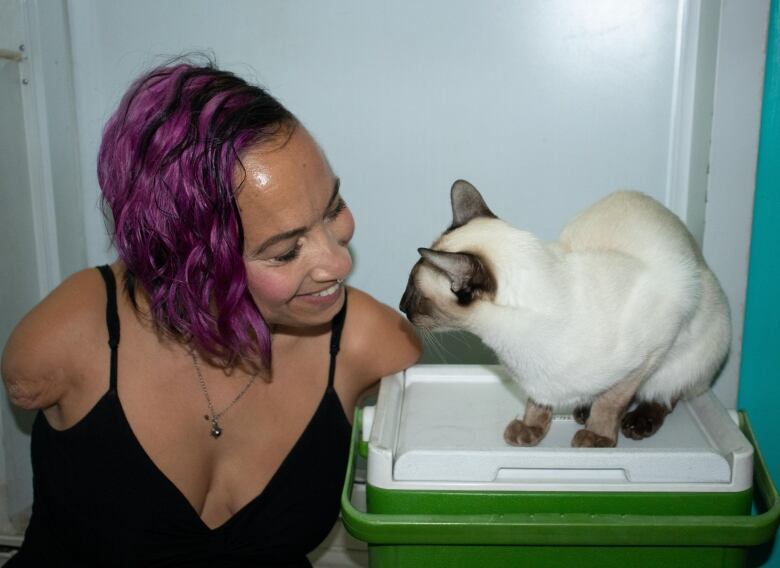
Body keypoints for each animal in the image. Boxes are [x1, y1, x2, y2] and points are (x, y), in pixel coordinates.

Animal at [402, 182, 732, 448]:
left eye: (414, 292)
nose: (401, 306)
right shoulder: (539, 381)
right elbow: (537, 403)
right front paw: (530, 430)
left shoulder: (654, 346)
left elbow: (613, 400)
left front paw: (597, 436)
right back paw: (583, 410)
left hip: (696, 344)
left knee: (668, 393)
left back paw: (636, 422)